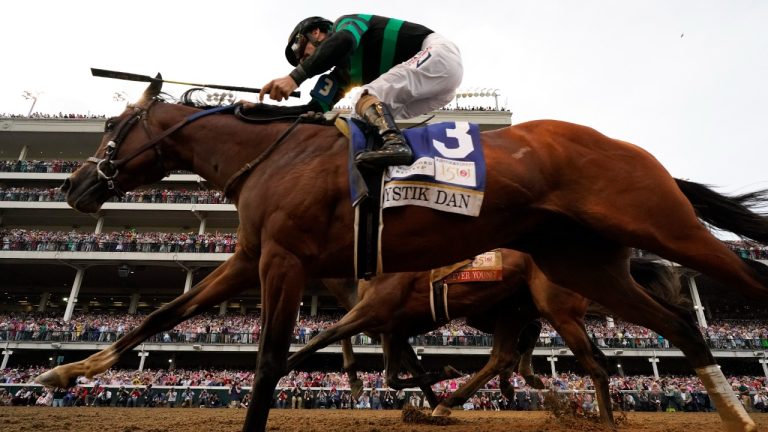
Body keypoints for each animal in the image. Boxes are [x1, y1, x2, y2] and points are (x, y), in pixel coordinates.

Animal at [302, 251, 683, 425]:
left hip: (529, 307)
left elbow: (392, 373)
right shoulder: (388, 326)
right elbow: (391, 369)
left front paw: (439, 386)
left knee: (523, 350)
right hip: (510, 309)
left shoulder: (387, 323)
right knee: (520, 346)